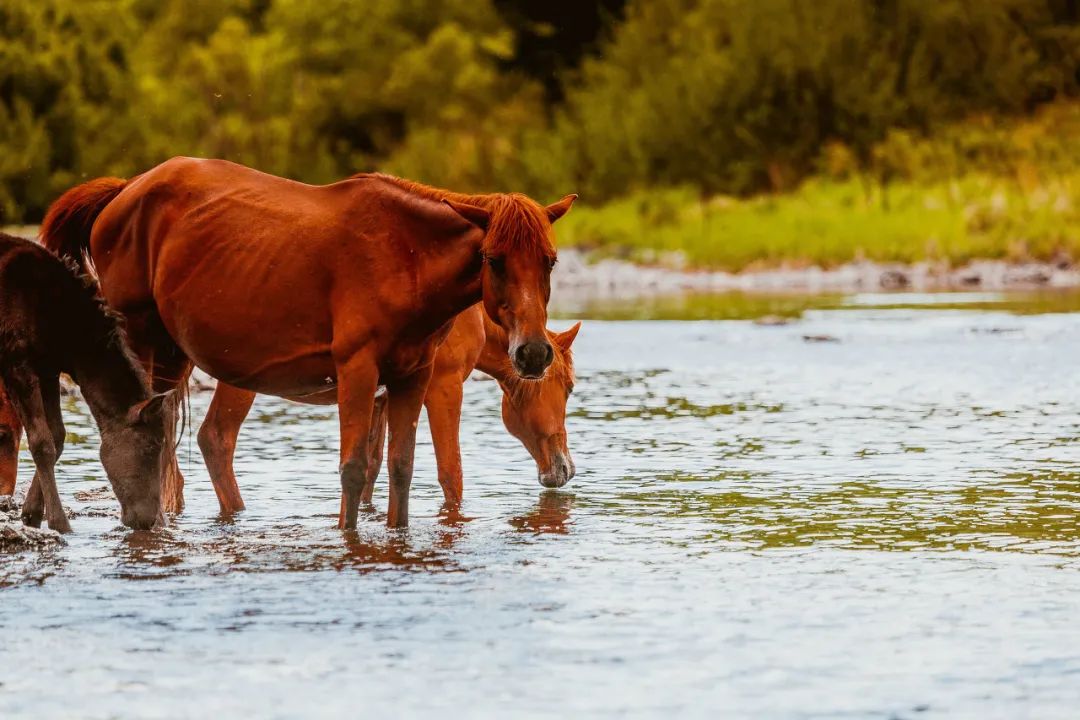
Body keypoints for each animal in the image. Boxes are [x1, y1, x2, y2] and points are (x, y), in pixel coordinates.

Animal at [0, 234, 170, 533]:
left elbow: (58, 435)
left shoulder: (47, 369)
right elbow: (41, 441)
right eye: (152, 446)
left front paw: (31, 513)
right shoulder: (16, 360)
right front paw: (59, 523)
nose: (151, 521)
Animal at [197, 304, 578, 518]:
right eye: (570, 387)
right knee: (216, 439)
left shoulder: (381, 399)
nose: (566, 469)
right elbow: (450, 474)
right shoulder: (444, 387)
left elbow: (371, 468)